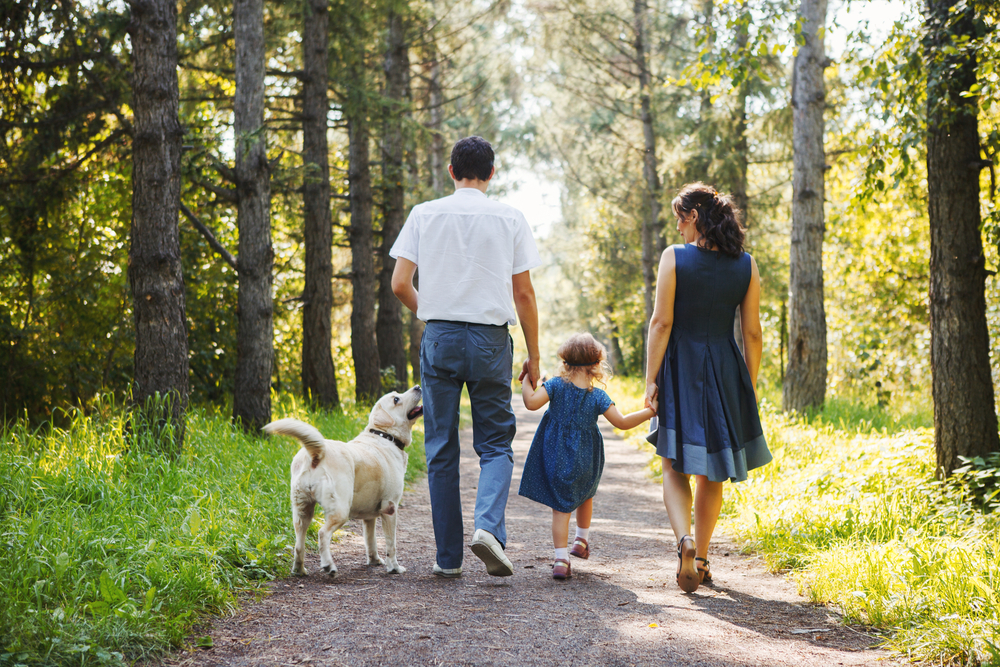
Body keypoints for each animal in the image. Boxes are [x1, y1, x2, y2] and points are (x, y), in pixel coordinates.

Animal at [262, 386, 422, 580]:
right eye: (396, 399)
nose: (418, 387)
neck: (385, 436)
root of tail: (317, 453)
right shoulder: (389, 508)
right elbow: (391, 544)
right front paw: (394, 568)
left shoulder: (369, 517)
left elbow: (371, 540)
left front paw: (374, 560)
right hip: (340, 510)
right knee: (322, 533)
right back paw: (328, 566)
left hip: (302, 510)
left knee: (299, 543)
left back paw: (299, 570)